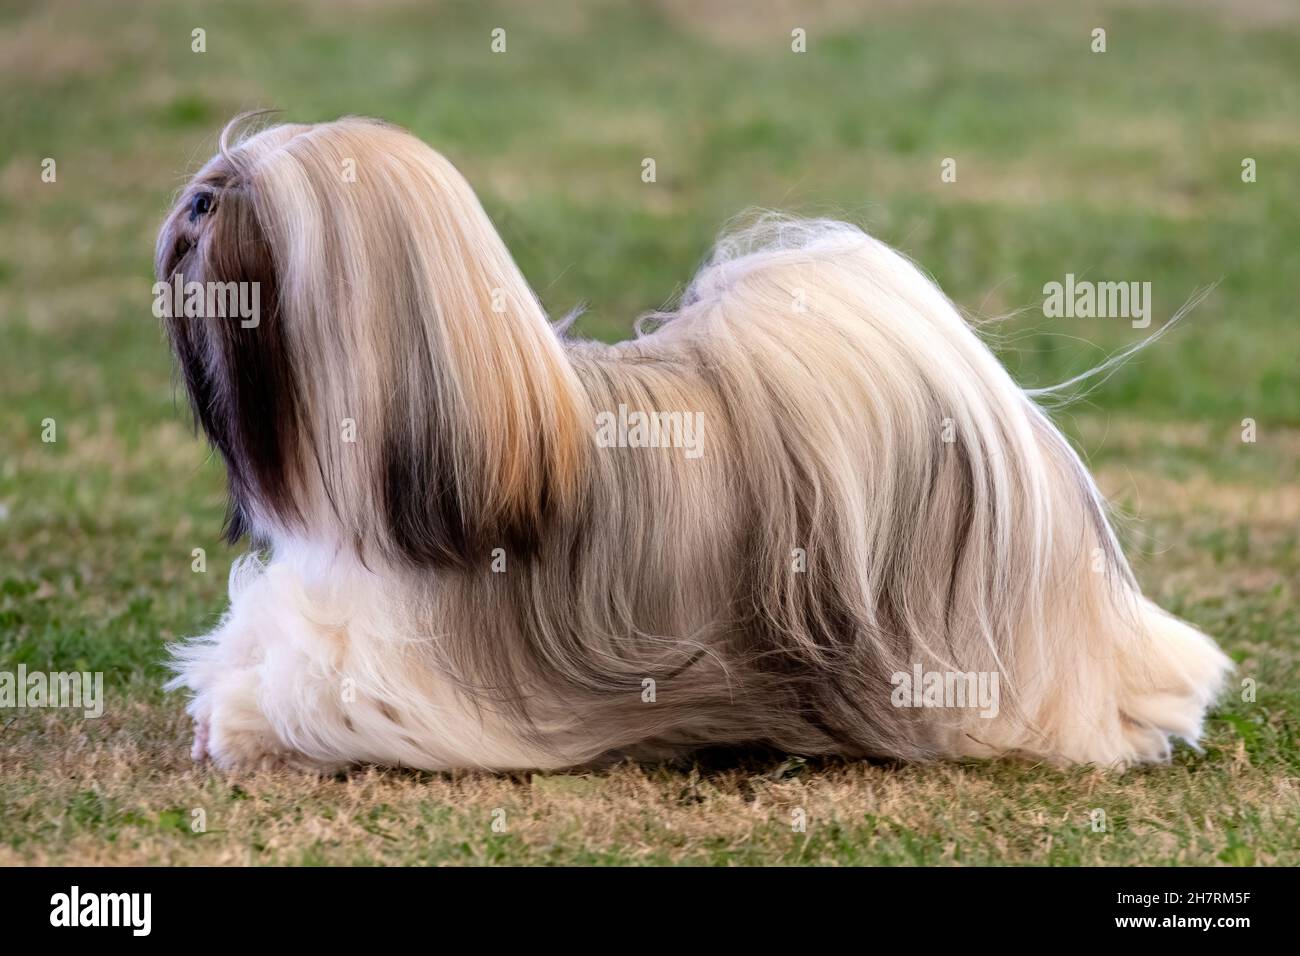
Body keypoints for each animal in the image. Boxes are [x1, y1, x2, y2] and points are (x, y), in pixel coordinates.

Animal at [154, 115, 1227, 775]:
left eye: (249, 203)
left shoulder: (416, 684)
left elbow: (312, 693)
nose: (194, 203)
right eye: (213, 185)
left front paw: (241, 723)